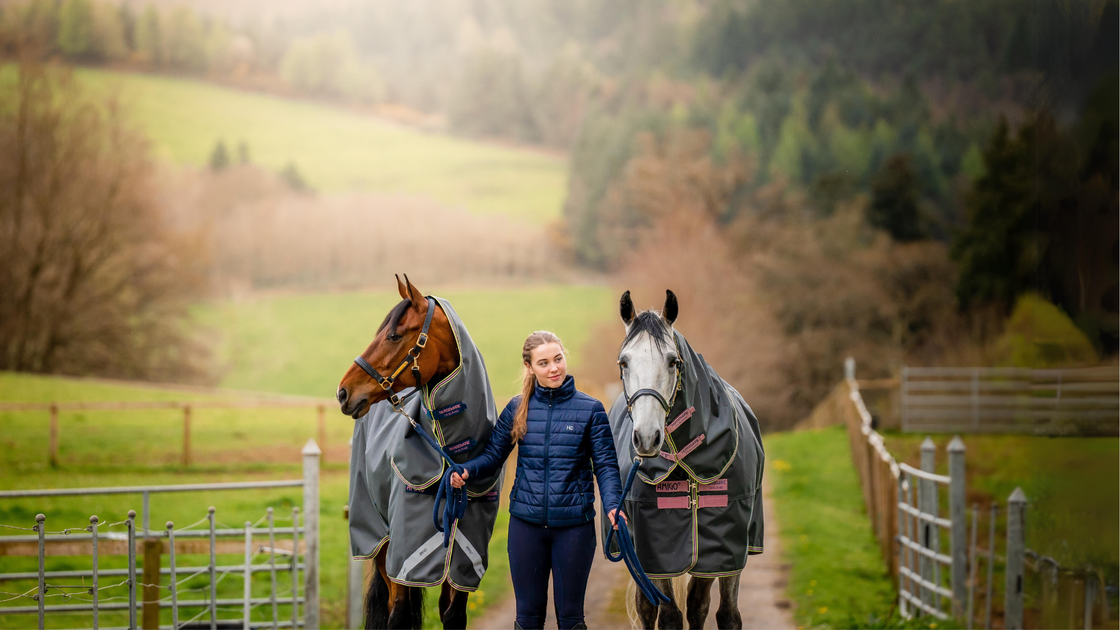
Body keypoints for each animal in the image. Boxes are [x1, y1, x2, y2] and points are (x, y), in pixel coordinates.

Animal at [337, 275, 503, 629]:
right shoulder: (403, 558)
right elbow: (398, 615)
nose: (343, 392)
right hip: (380, 544)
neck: (451, 456)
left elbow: (453, 615)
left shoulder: (465, 565)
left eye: (394, 335)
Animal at [605, 290, 766, 630]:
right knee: (647, 607)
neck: (683, 460)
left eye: (673, 361)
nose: (647, 438)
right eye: (623, 362)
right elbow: (669, 616)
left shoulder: (724, 548)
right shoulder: (655, 551)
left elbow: (712, 610)